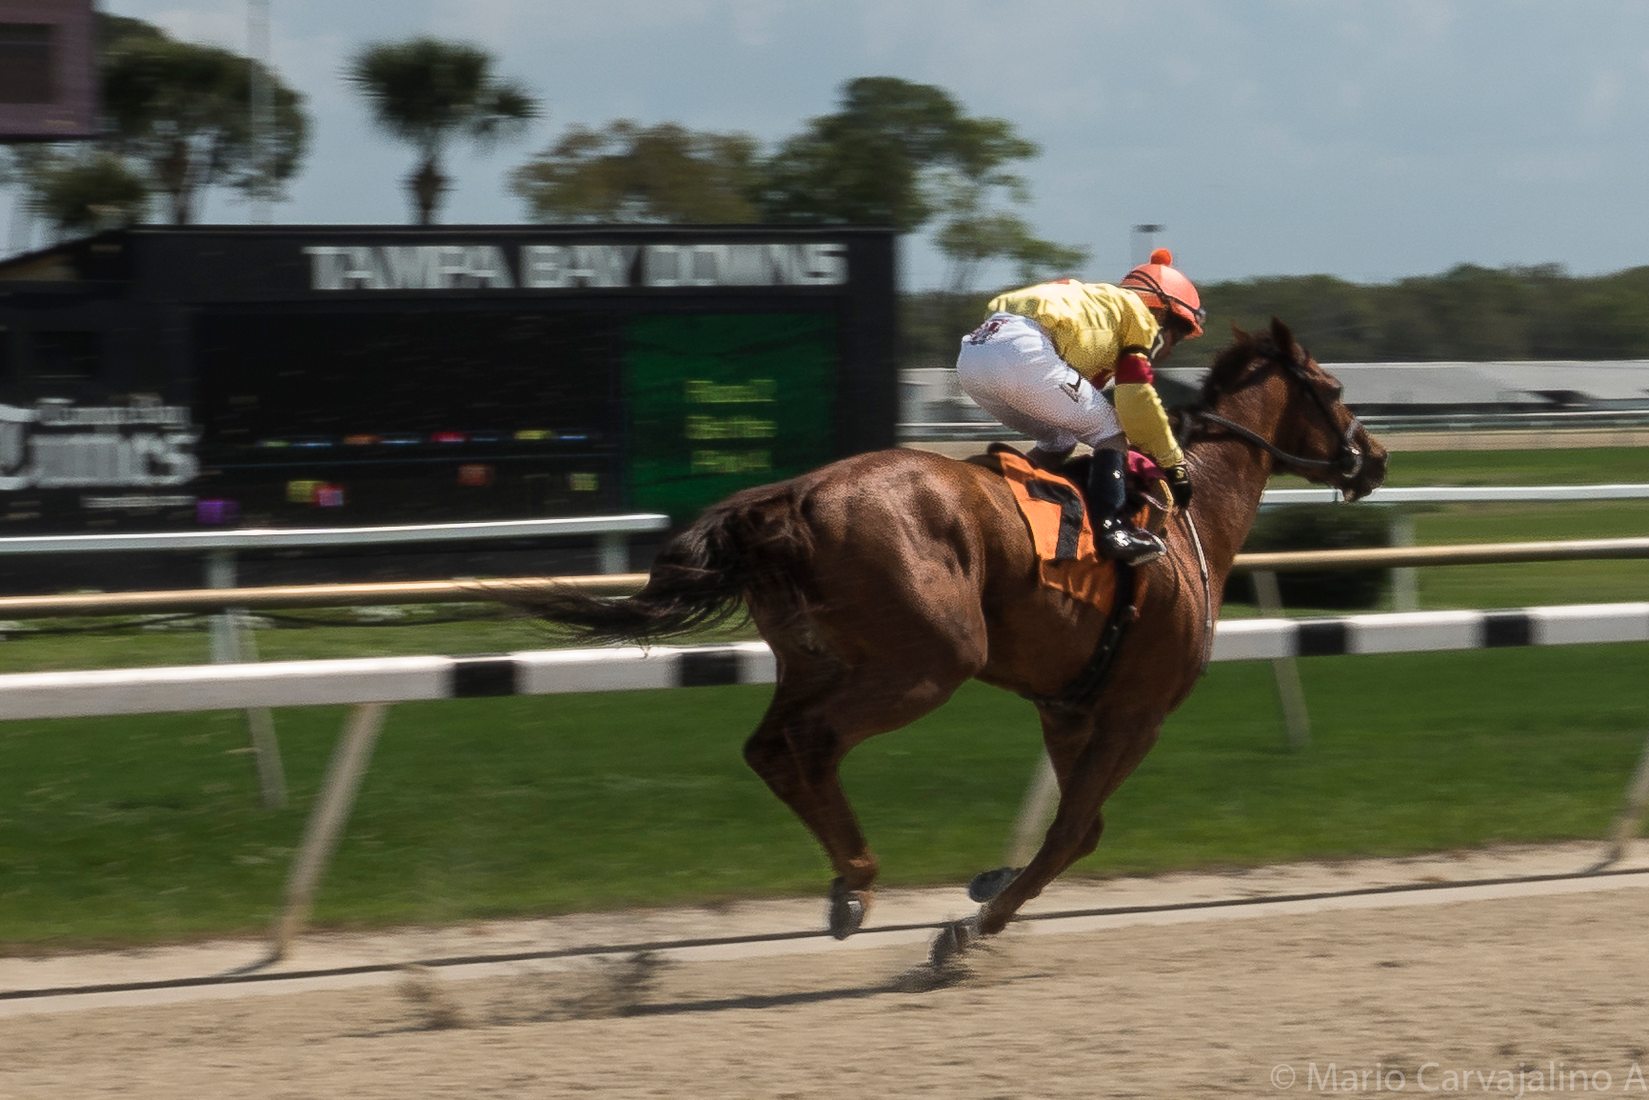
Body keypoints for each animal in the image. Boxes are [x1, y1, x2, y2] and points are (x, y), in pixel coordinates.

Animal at [507, 316, 1385, 956]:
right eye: (1335, 388)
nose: (1373, 457)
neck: (1186, 518)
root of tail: (789, 500)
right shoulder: (1135, 713)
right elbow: (1072, 830)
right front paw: (970, 927)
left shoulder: (1068, 707)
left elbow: (1082, 829)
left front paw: (989, 883)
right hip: (929, 663)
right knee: (813, 743)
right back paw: (858, 879)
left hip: (817, 658)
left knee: (770, 747)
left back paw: (846, 882)